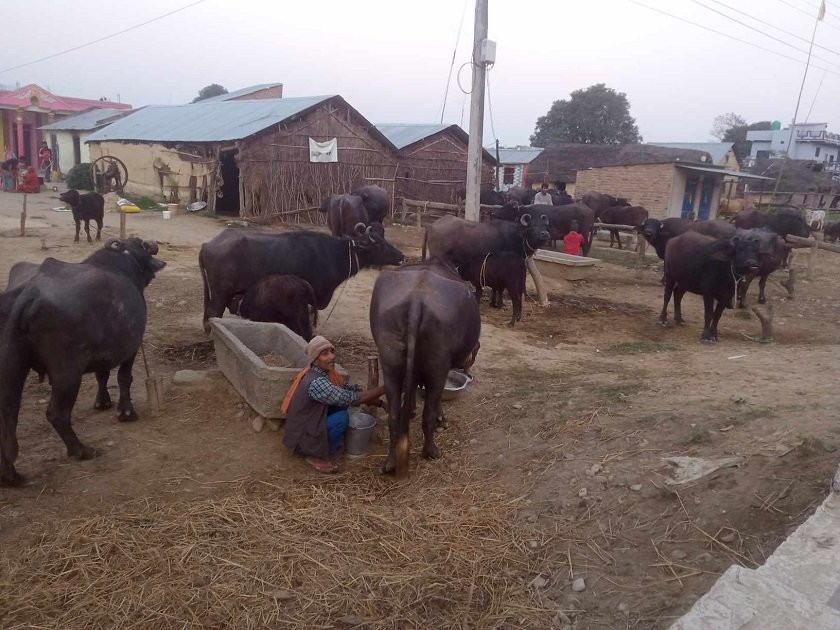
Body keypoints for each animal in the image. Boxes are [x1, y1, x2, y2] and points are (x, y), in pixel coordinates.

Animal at [0, 237, 166, 486]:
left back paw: (11, 474)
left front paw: (102, 402)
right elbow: (123, 378)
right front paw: (126, 412)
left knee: (8, 412)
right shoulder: (131, 347)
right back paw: (81, 450)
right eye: (142, 246)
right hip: (67, 372)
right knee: (57, 413)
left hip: (12, 364)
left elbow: (102, 374)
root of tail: (28, 293)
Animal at [199, 225, 404, 333]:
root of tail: (207, 244)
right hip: (220, 295)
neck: (333, 254)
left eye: (384, 240)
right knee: (213, 315)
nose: (401, 257)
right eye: (379, 244)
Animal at [370, 259, 481, 477]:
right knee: (428, 412)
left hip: (390, 362)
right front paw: (441, 419)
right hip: (437, 366)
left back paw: (390, 463)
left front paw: (411, 408)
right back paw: (432, 451)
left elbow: (412, 387)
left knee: (393, 414)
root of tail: (416, 299)